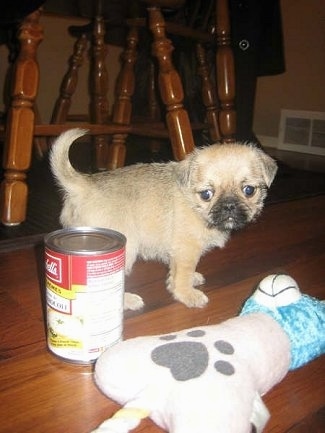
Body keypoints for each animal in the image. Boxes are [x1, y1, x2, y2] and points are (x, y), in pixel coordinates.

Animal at [50, 129, 276, 310]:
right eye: (206, 194)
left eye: (249, 190)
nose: (229, 205)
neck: (193, 204)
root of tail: (85, 185)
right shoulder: (187, 250)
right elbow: (182, 276)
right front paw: (187, 294)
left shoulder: (177, 253)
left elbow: (176, 273)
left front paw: (189, 281)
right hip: (124, 249)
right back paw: (126, 301)